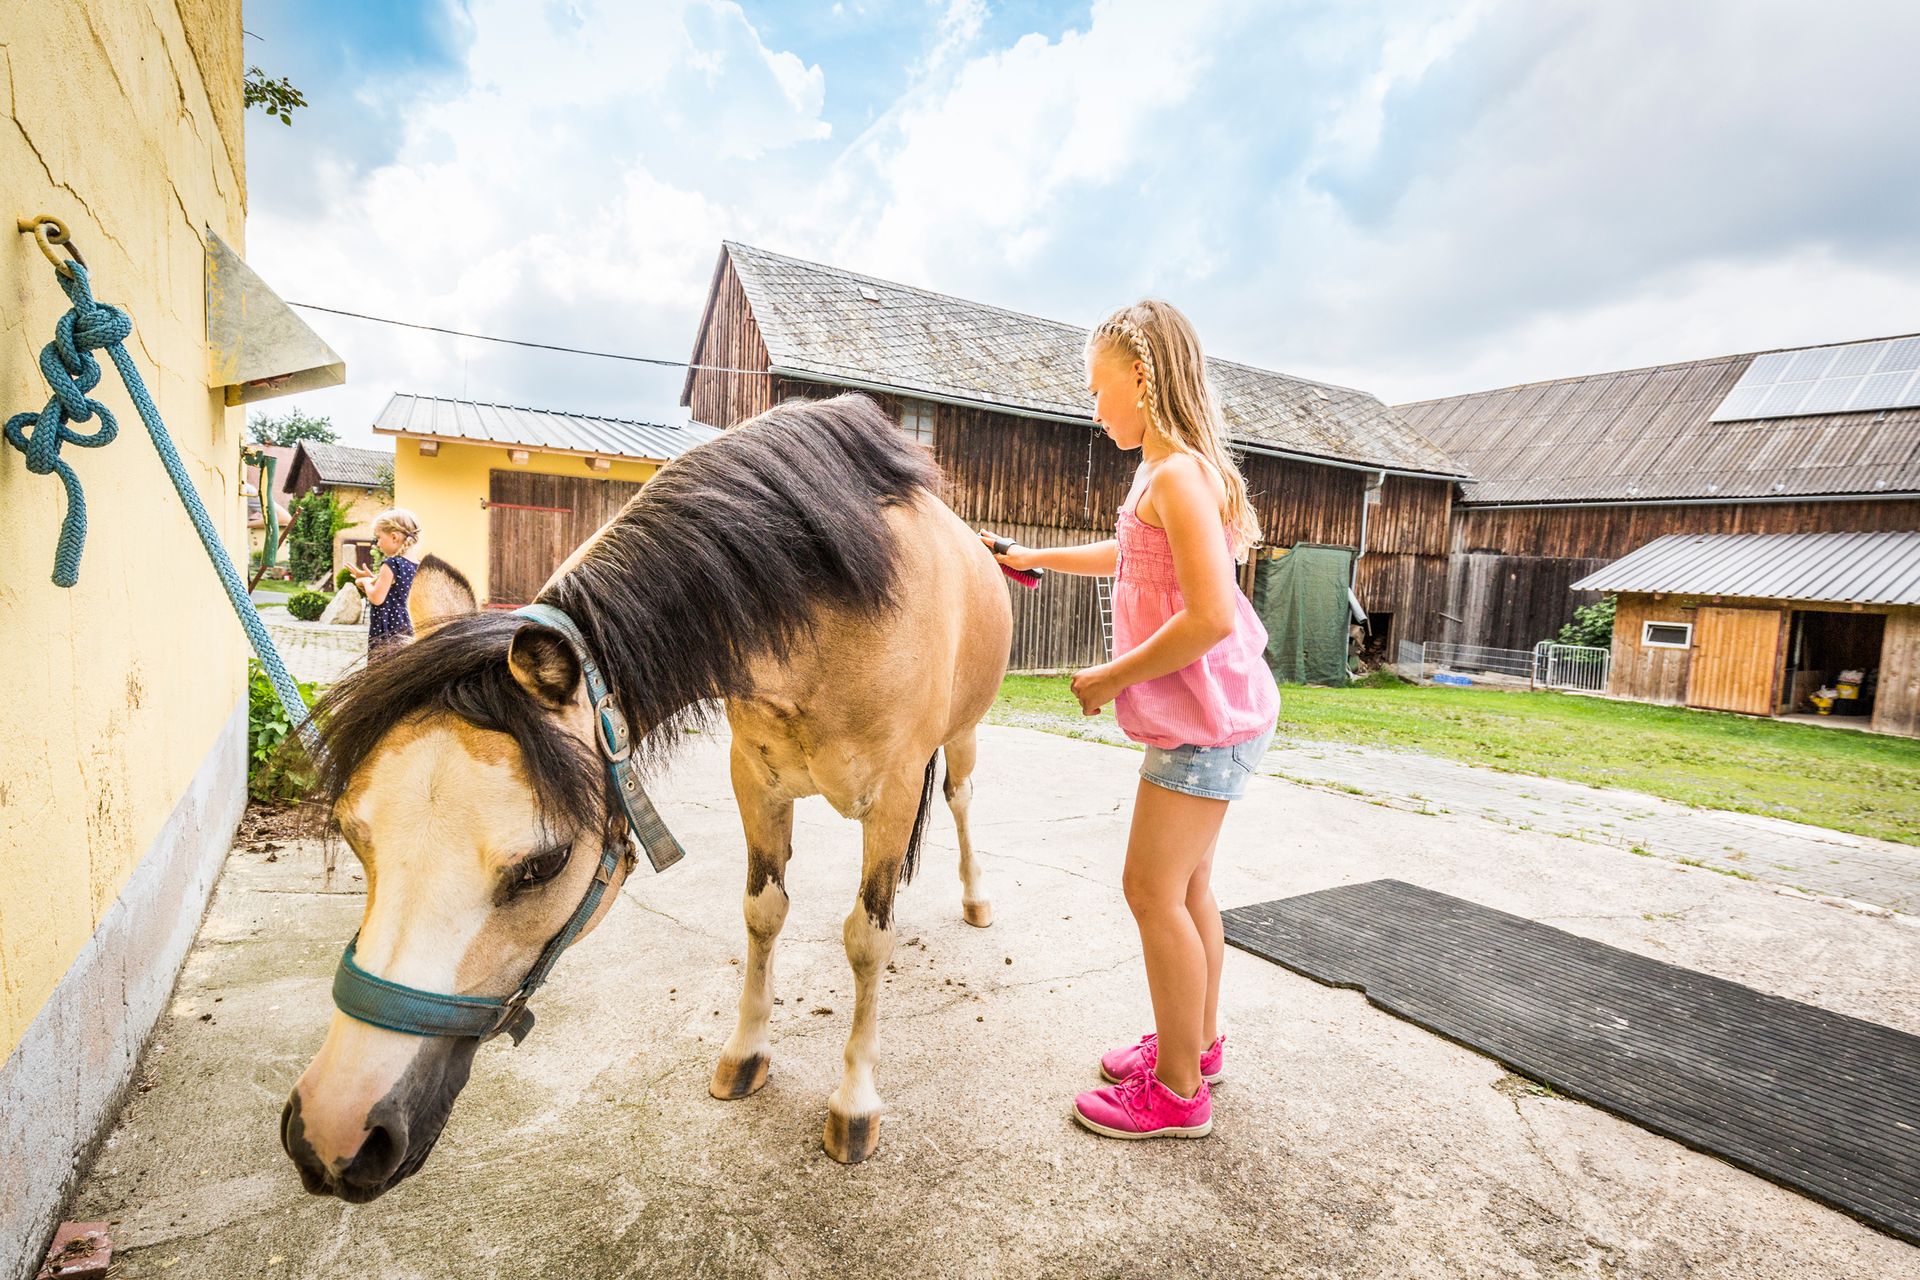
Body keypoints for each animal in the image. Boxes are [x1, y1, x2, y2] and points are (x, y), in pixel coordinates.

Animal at [280, 393, 1021, 1205]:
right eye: (356, 836)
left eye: (543, 866)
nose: (332, 1136)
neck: (837, 610)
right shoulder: (756, 782)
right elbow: (764, 913)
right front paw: (746, 1055)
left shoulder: (890, 800)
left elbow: (866, 939)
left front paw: (854, 1103)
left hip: (964, 736)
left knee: (961, 799)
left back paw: (978, 898)